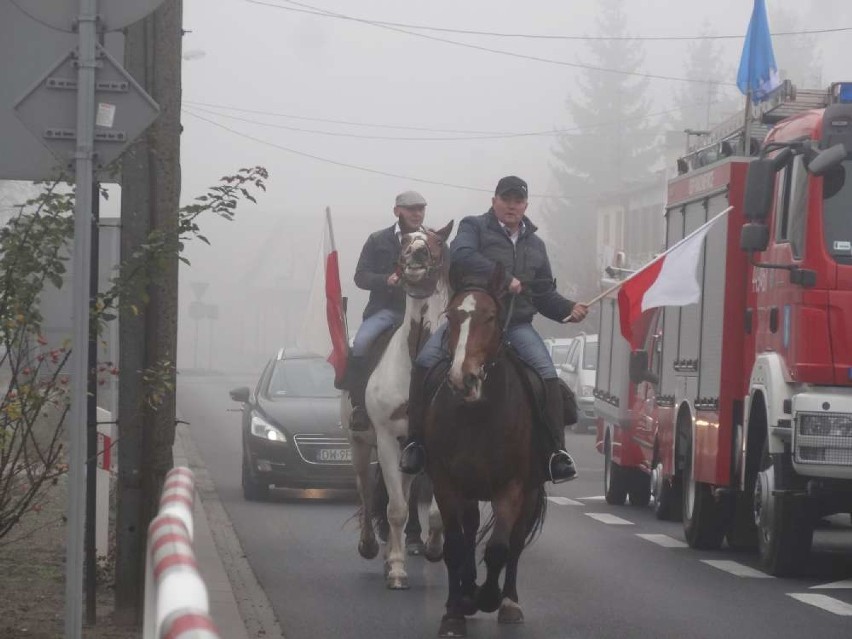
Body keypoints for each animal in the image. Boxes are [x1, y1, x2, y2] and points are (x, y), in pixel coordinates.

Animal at [344, 221, 456, 592]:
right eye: (405, 239)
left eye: (436, 241)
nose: (416, 255)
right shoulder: (387, 440)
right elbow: (395, 509)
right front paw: (396, 570)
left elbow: (432, 511)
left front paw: (434, 549)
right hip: (361, 443)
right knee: (366, 489)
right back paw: (369, 546)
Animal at [424, 268, 544, 636]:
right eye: (451, 316)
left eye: (490, 318)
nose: (463, 379)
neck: (477, 414)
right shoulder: (446, 484)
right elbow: (455, 546)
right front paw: (454, 611)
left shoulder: (512, 486)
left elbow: (498, 548)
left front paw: (490, 598)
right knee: (469, 531)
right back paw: (467, 591)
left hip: (529, 491)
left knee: (515, 544)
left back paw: (508, 602)